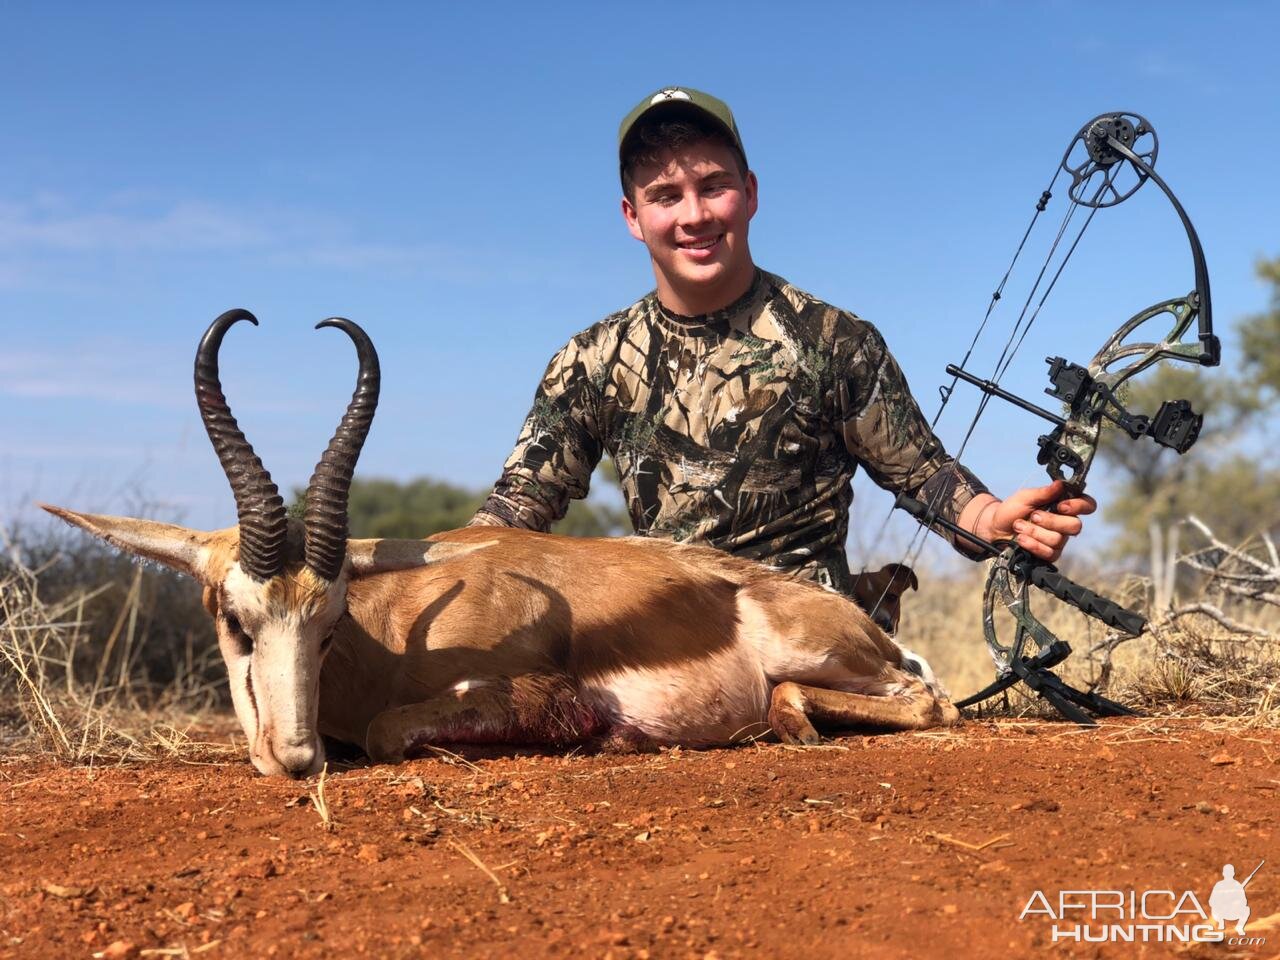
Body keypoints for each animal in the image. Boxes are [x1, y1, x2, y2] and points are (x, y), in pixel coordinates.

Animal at [42, 312, 962, 778]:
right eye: (235, 620)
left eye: (331, 622)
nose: (295, 758)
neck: (397, 633)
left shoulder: (530, 691)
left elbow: (389, 732)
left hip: (825, 658)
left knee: (929, 702)